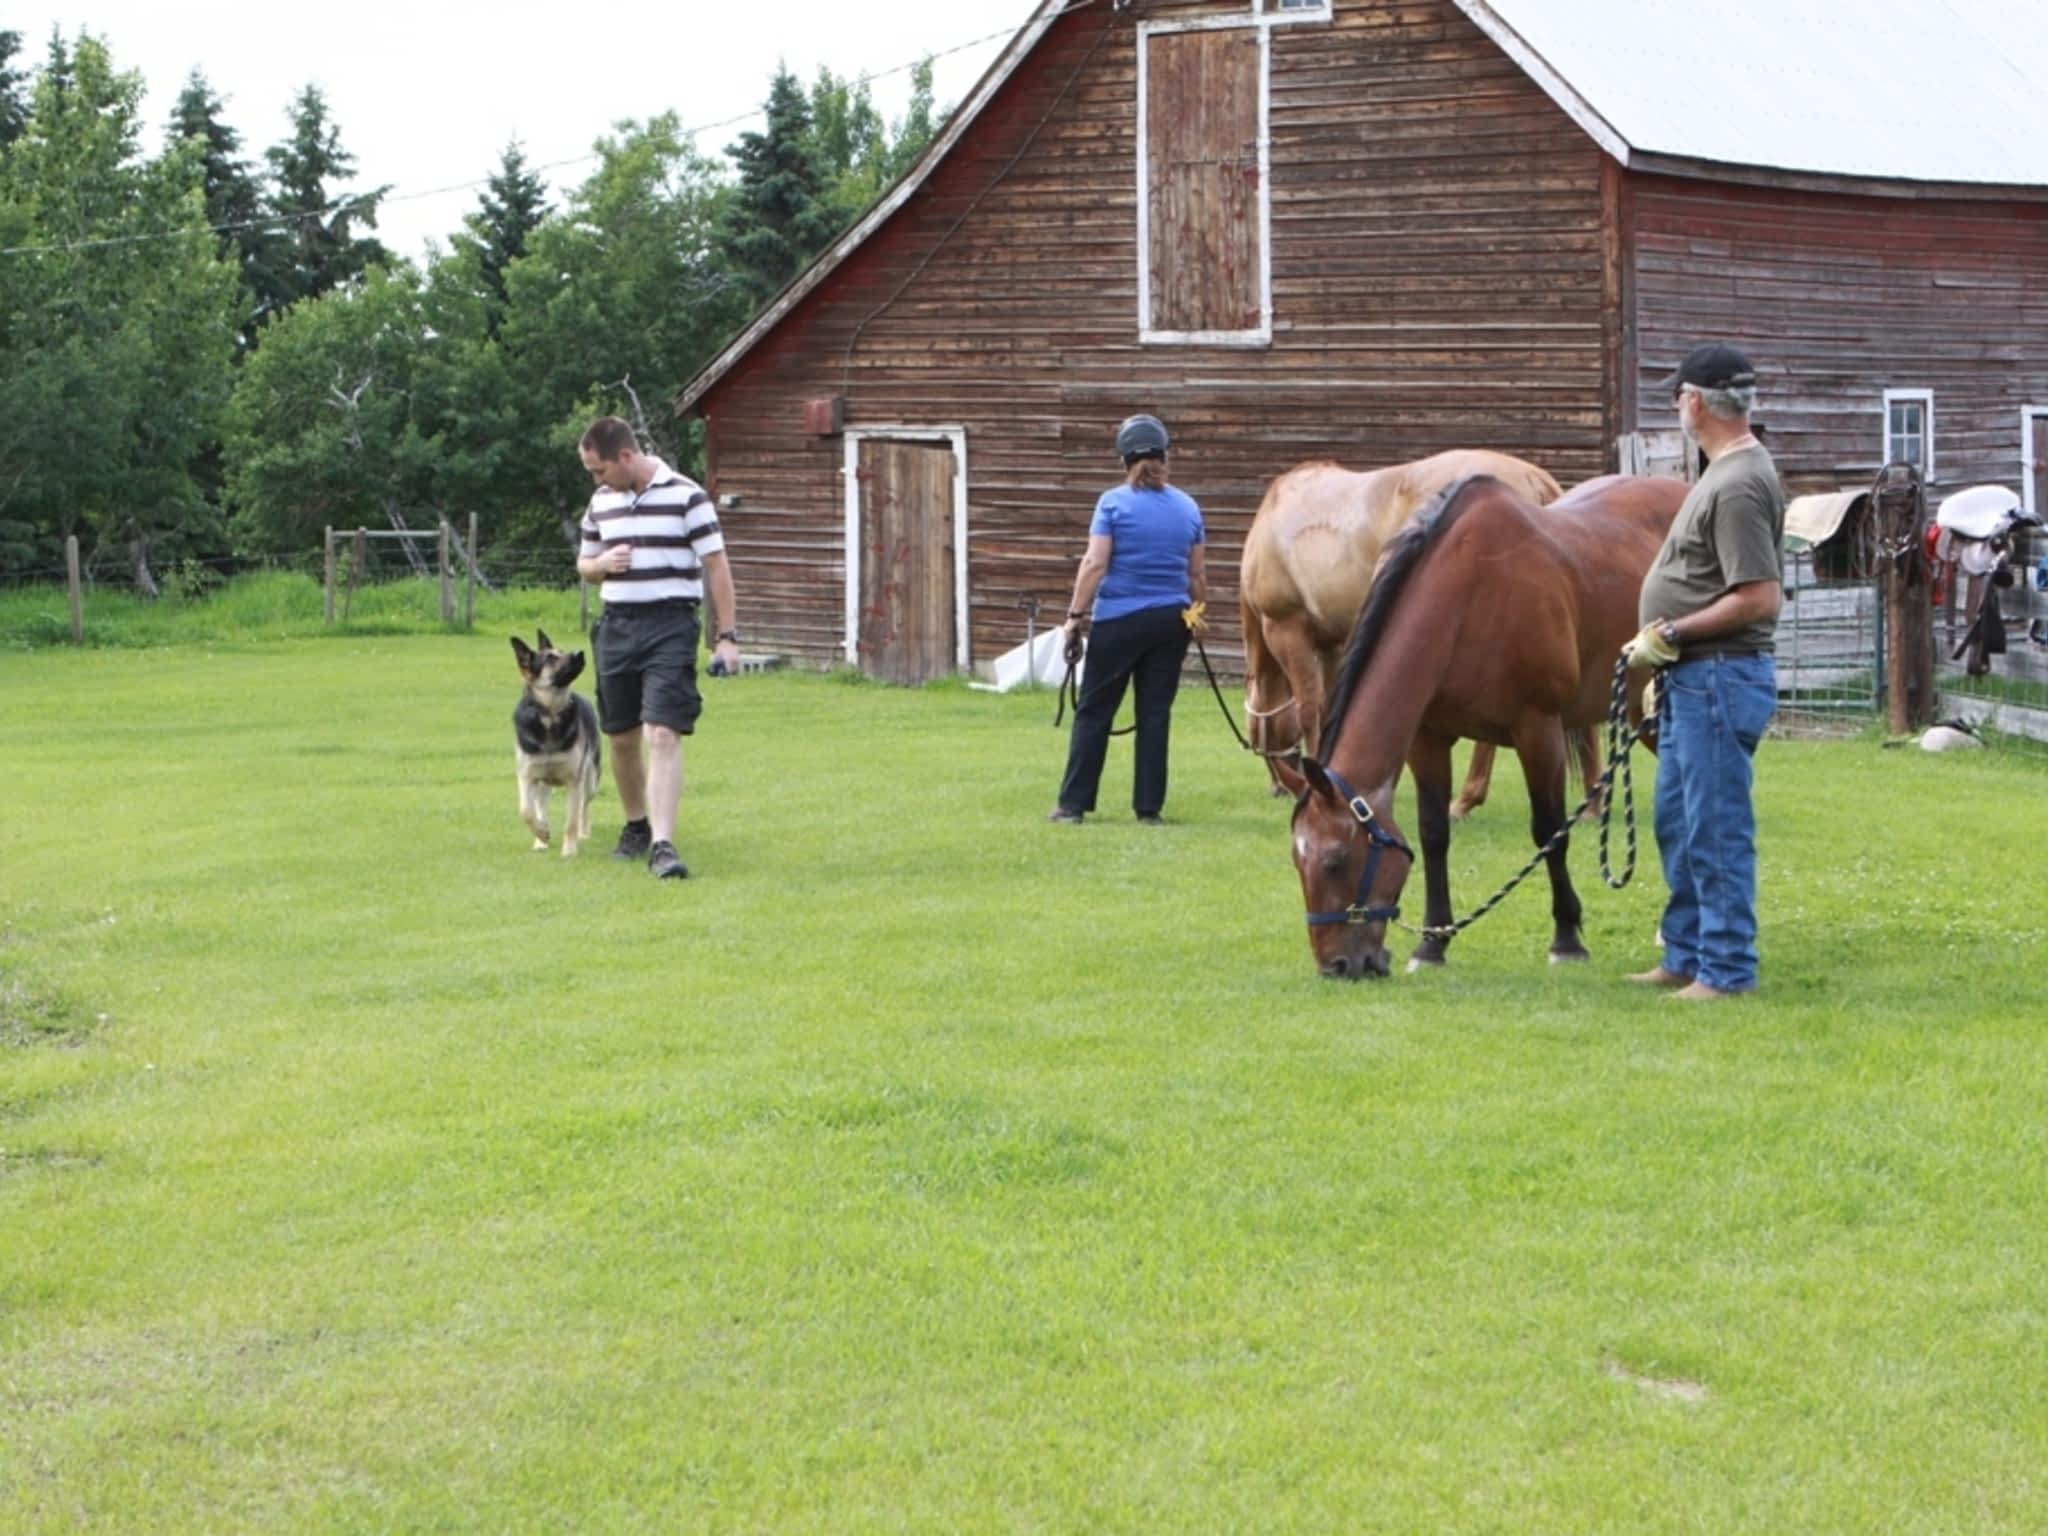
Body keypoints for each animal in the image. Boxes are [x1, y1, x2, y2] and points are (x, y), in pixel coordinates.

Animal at [509, 630, 598, 860]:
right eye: (550, 658)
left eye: (562, 651)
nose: (580, 653)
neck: (549, 714)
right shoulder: (527, 776)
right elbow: (526, 811)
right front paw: (542, 834)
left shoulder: (574, 780)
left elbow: (571, 821)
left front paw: (569, 850)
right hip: (543, 785)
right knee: (540, 808)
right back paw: (540, 840)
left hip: (590, 780)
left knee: (584, 806)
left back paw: (584, 832)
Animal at [1236, 448, 1589, 819]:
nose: (1279, 785)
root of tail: (1535, 479)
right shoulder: (1334, 644)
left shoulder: (1287, 629)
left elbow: (1308, 710)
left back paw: (1467, 798)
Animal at [1286, 473, 1687, 987]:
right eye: (1298, 861)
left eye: (1335, 861)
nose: (1336, 966)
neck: (1471, 594)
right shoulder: (1428, 738)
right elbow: (1434, 833)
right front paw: (1432, 943)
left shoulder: (1539, 731)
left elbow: (1549, 832)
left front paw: (1567, 940)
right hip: (1642, 711)